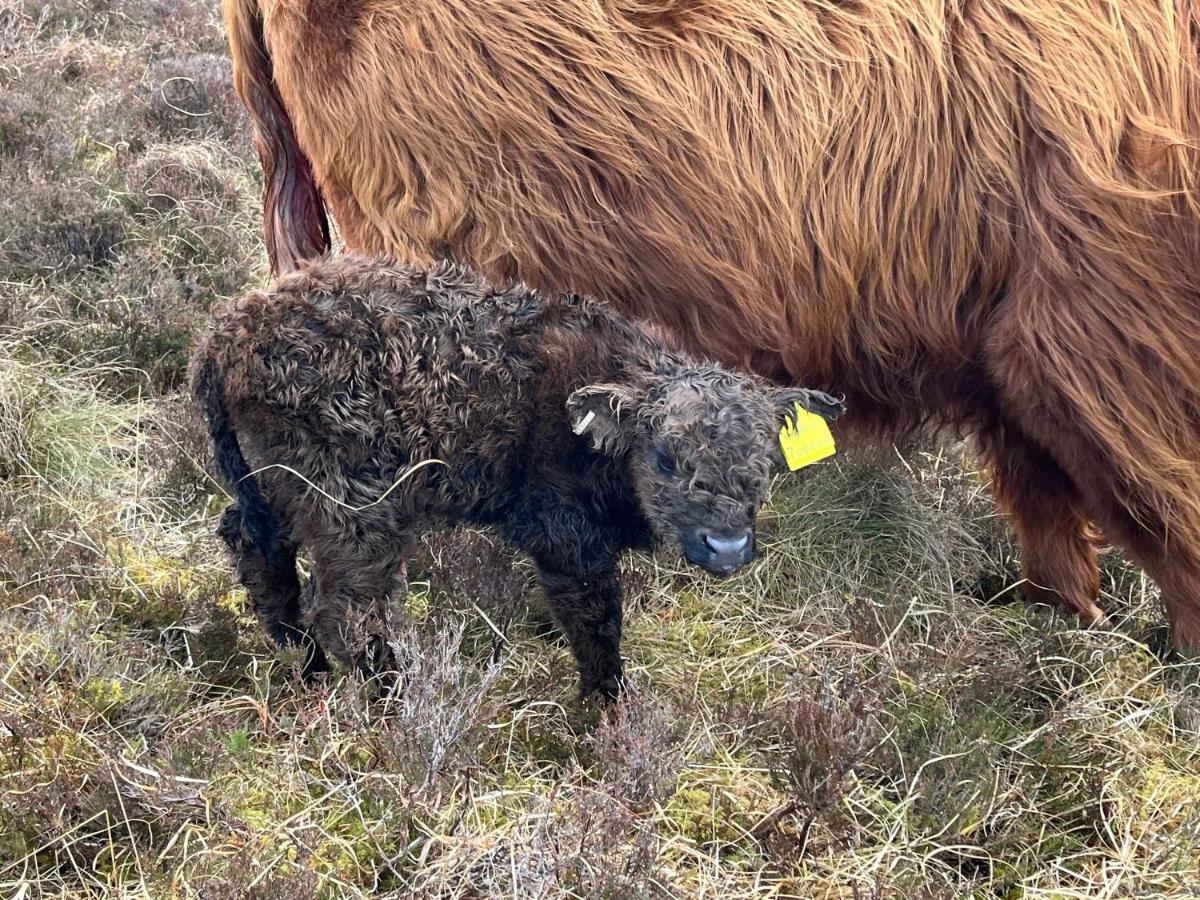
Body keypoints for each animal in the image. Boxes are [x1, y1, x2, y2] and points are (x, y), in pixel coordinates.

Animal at [189, 256, 844, 696]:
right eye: (663, 457)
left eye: (766, 456)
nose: (727, 547)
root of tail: (228, 330)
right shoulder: (566, 534)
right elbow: (597, 621)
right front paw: (610, 712)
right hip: (352, 504)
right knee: (349, 611)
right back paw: (397, 704)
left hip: (272, 483)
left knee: (253, 544)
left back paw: (303, 665)